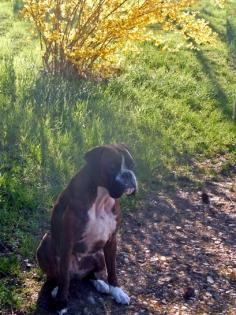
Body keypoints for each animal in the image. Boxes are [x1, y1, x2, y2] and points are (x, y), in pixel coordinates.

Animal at [36, 144, 137, 314]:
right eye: (112, 166)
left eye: (132, 165)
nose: (128, 175)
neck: (101, 198)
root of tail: (77, 272)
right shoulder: (67, 242)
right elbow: (64, 277)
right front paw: (61, 303)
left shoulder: (112, 240)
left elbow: (113, 270)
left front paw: (117, 291)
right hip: (46, 242)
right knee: (58, 276)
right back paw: (56, 290)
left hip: (99, 257)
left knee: (89, 275)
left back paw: (100, 284)